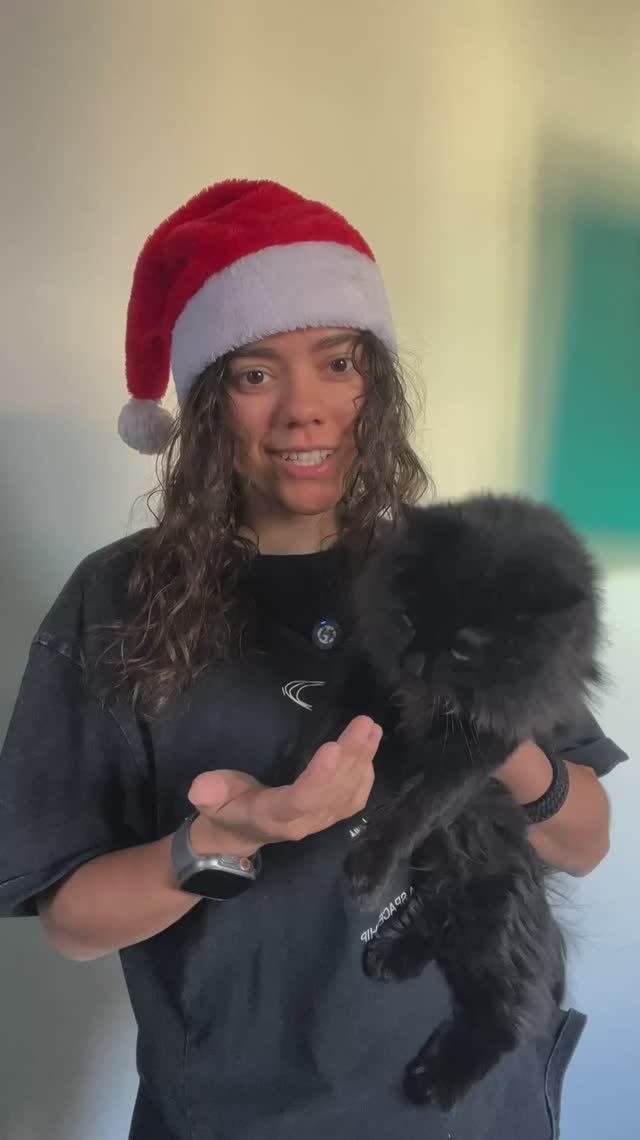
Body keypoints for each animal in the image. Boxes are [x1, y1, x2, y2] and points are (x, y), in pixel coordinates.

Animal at [288, 492, 602, 1110]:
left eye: (461, 649)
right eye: (410, 620)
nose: (414, 665)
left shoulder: (491, 738)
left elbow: (427, 798)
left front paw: (367, 866)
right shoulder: (371, 668)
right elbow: (334, 716)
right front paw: (306, 767)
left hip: (496, 918)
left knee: (507, 1019)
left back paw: (435, 1081)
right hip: (455, 882)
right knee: (439, 915)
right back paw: (392, 955)